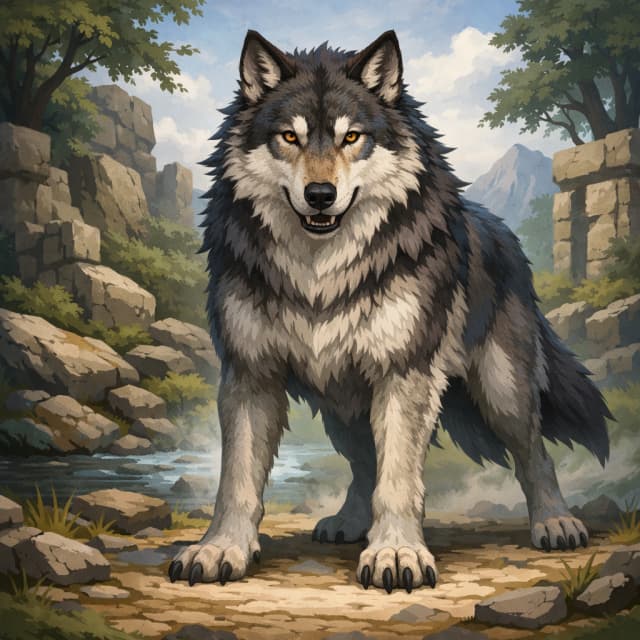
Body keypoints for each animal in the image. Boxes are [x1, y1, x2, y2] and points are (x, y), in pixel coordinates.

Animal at [168, 30, 611, 593]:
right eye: (289, 137)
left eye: (352, 137)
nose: (320, 195)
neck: (320, 273)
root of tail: (500, 229)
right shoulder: (250, 374)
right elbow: (238, 480)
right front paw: (220, 548)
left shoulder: (405, 372)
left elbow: (398, 477)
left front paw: (397, 553)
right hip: (342, 404)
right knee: (363, 465)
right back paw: (348, 522)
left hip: (502, 389)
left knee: (535, 453)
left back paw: (555, 522)